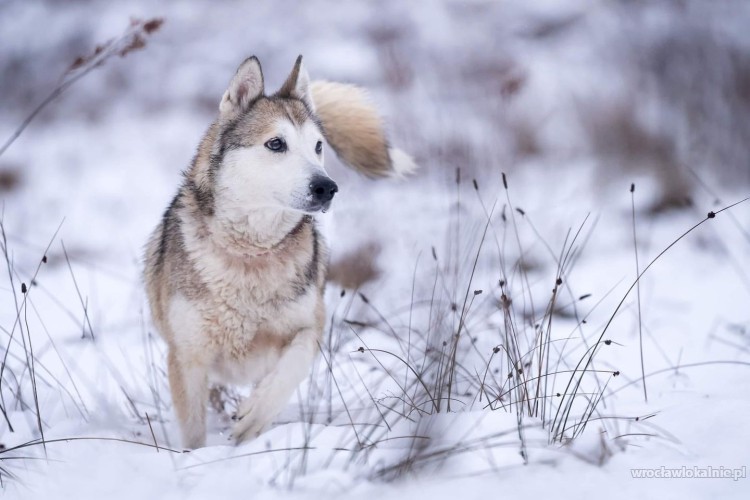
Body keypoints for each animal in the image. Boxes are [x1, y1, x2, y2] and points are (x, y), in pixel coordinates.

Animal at [145, 55, 418, 450]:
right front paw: (193, 457)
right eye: (276, 144)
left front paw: (253, 419)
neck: (250, 255)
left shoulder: (308, 327)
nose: (327, 187)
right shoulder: (187, 355)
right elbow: (193, 433)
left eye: (318, 146)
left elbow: (291, 367)